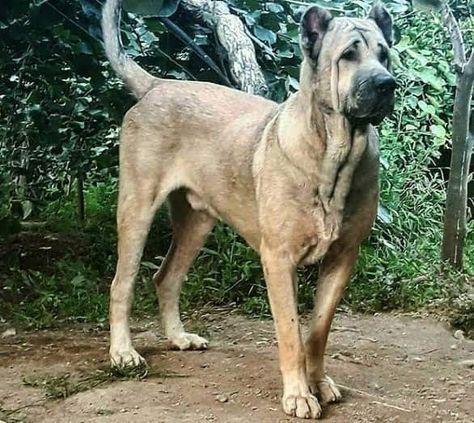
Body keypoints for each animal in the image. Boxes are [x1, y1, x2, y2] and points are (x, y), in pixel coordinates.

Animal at [103, 0, 396, 418]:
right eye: (348, 56)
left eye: (384, 55)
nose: (387, 84)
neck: (334, 155)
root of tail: (158, 84)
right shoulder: (279, 259)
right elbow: (291, 332)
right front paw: (298, 394)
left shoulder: (342, 257)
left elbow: (318, 330)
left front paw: (319, 383)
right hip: (137, 210)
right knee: (121, 284)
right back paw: (123, 353)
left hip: (197, 222)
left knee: (166, 277)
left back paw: (178, 337)